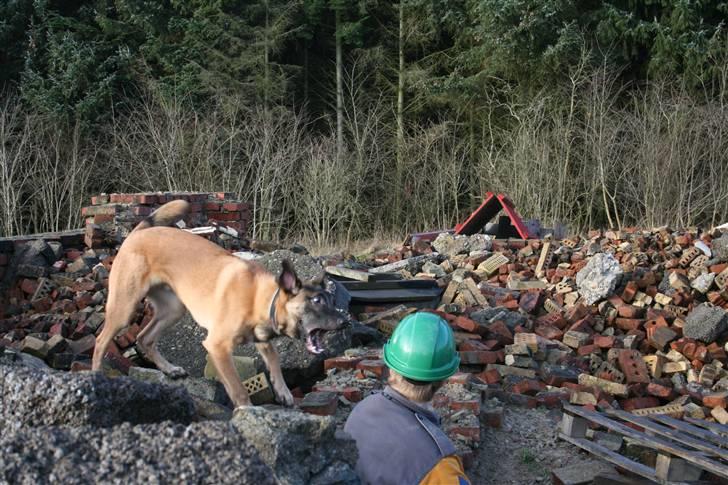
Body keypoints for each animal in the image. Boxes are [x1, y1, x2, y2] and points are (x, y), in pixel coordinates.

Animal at [92, 199, 346, 406]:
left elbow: (274, 359)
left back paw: (170, 369)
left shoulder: (263, 339)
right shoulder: (218, 347)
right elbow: (238, 388)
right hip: (125, 308)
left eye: (330, 300)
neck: (260, 297)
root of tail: (137, 233)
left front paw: (283, 391)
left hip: (173, 310)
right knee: (101, 340)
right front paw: (247, 412)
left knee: (144, 338)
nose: (346, 322)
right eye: (316, 301)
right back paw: (96, 378)